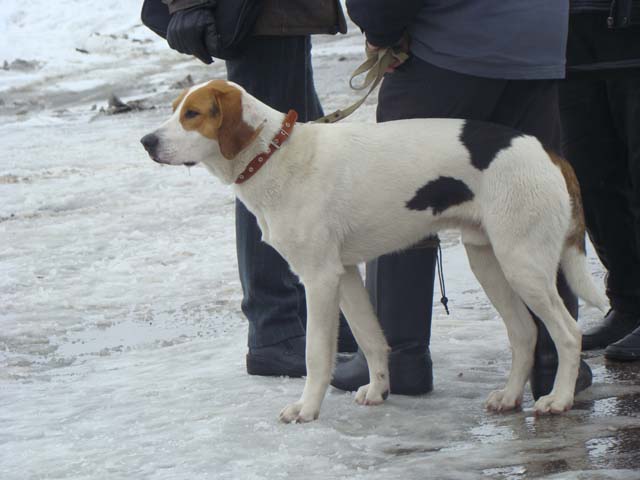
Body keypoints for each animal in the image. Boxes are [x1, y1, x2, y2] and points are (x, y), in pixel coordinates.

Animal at [140, 79, 604, 424]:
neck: (274, 155)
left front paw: (307, 409)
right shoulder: (344, 272)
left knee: (567, 333)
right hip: (489, 261)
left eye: (193, 114)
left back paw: (558, 399)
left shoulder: (319, 278)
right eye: (174, 108)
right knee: (524, 333)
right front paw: (379, 388)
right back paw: (509, 396)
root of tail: (548, 152)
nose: (146, 141)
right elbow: (371, 338)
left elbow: (316, 354)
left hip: (523, 264)